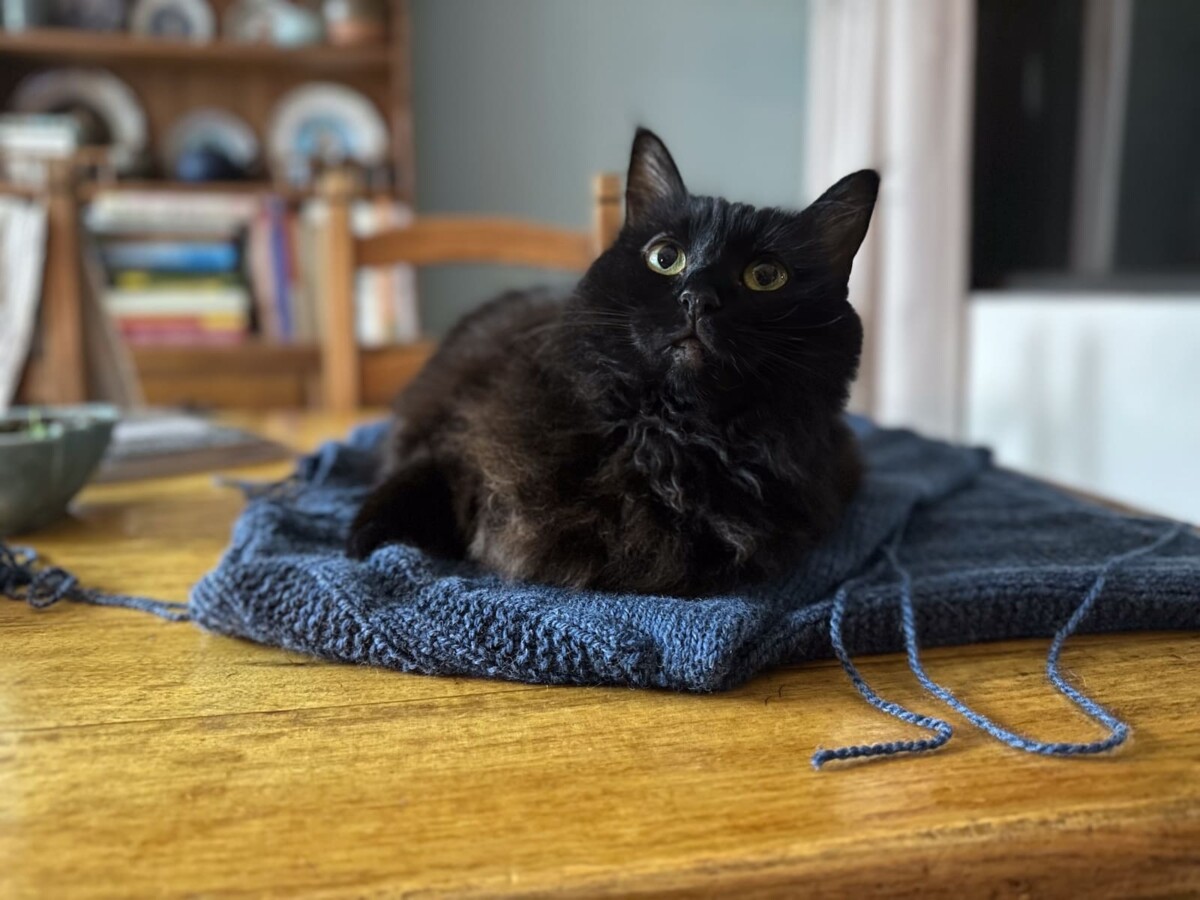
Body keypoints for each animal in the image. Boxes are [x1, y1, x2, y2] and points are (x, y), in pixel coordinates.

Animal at [350, 123, 883, 595]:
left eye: (766, 276)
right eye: (665, 258)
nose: (698, 298)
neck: (667, 437)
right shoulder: (452, 437)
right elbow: (414, 482)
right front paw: (359, 543)